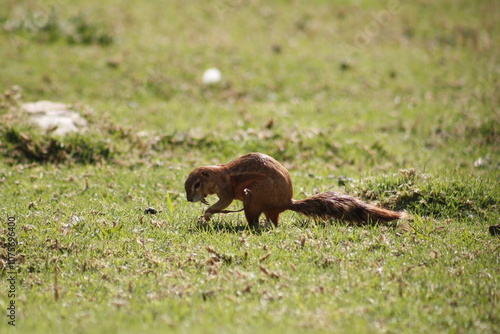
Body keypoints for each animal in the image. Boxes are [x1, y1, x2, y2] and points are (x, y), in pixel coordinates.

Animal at [186, 153, 408, 228]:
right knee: (273, 221)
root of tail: (287, 202)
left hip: (254, 198)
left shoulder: (226, 190)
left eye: (196, 184)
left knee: (256, 220)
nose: (189, 200)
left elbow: (224, 202)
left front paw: (207, 213)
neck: (218, 173)